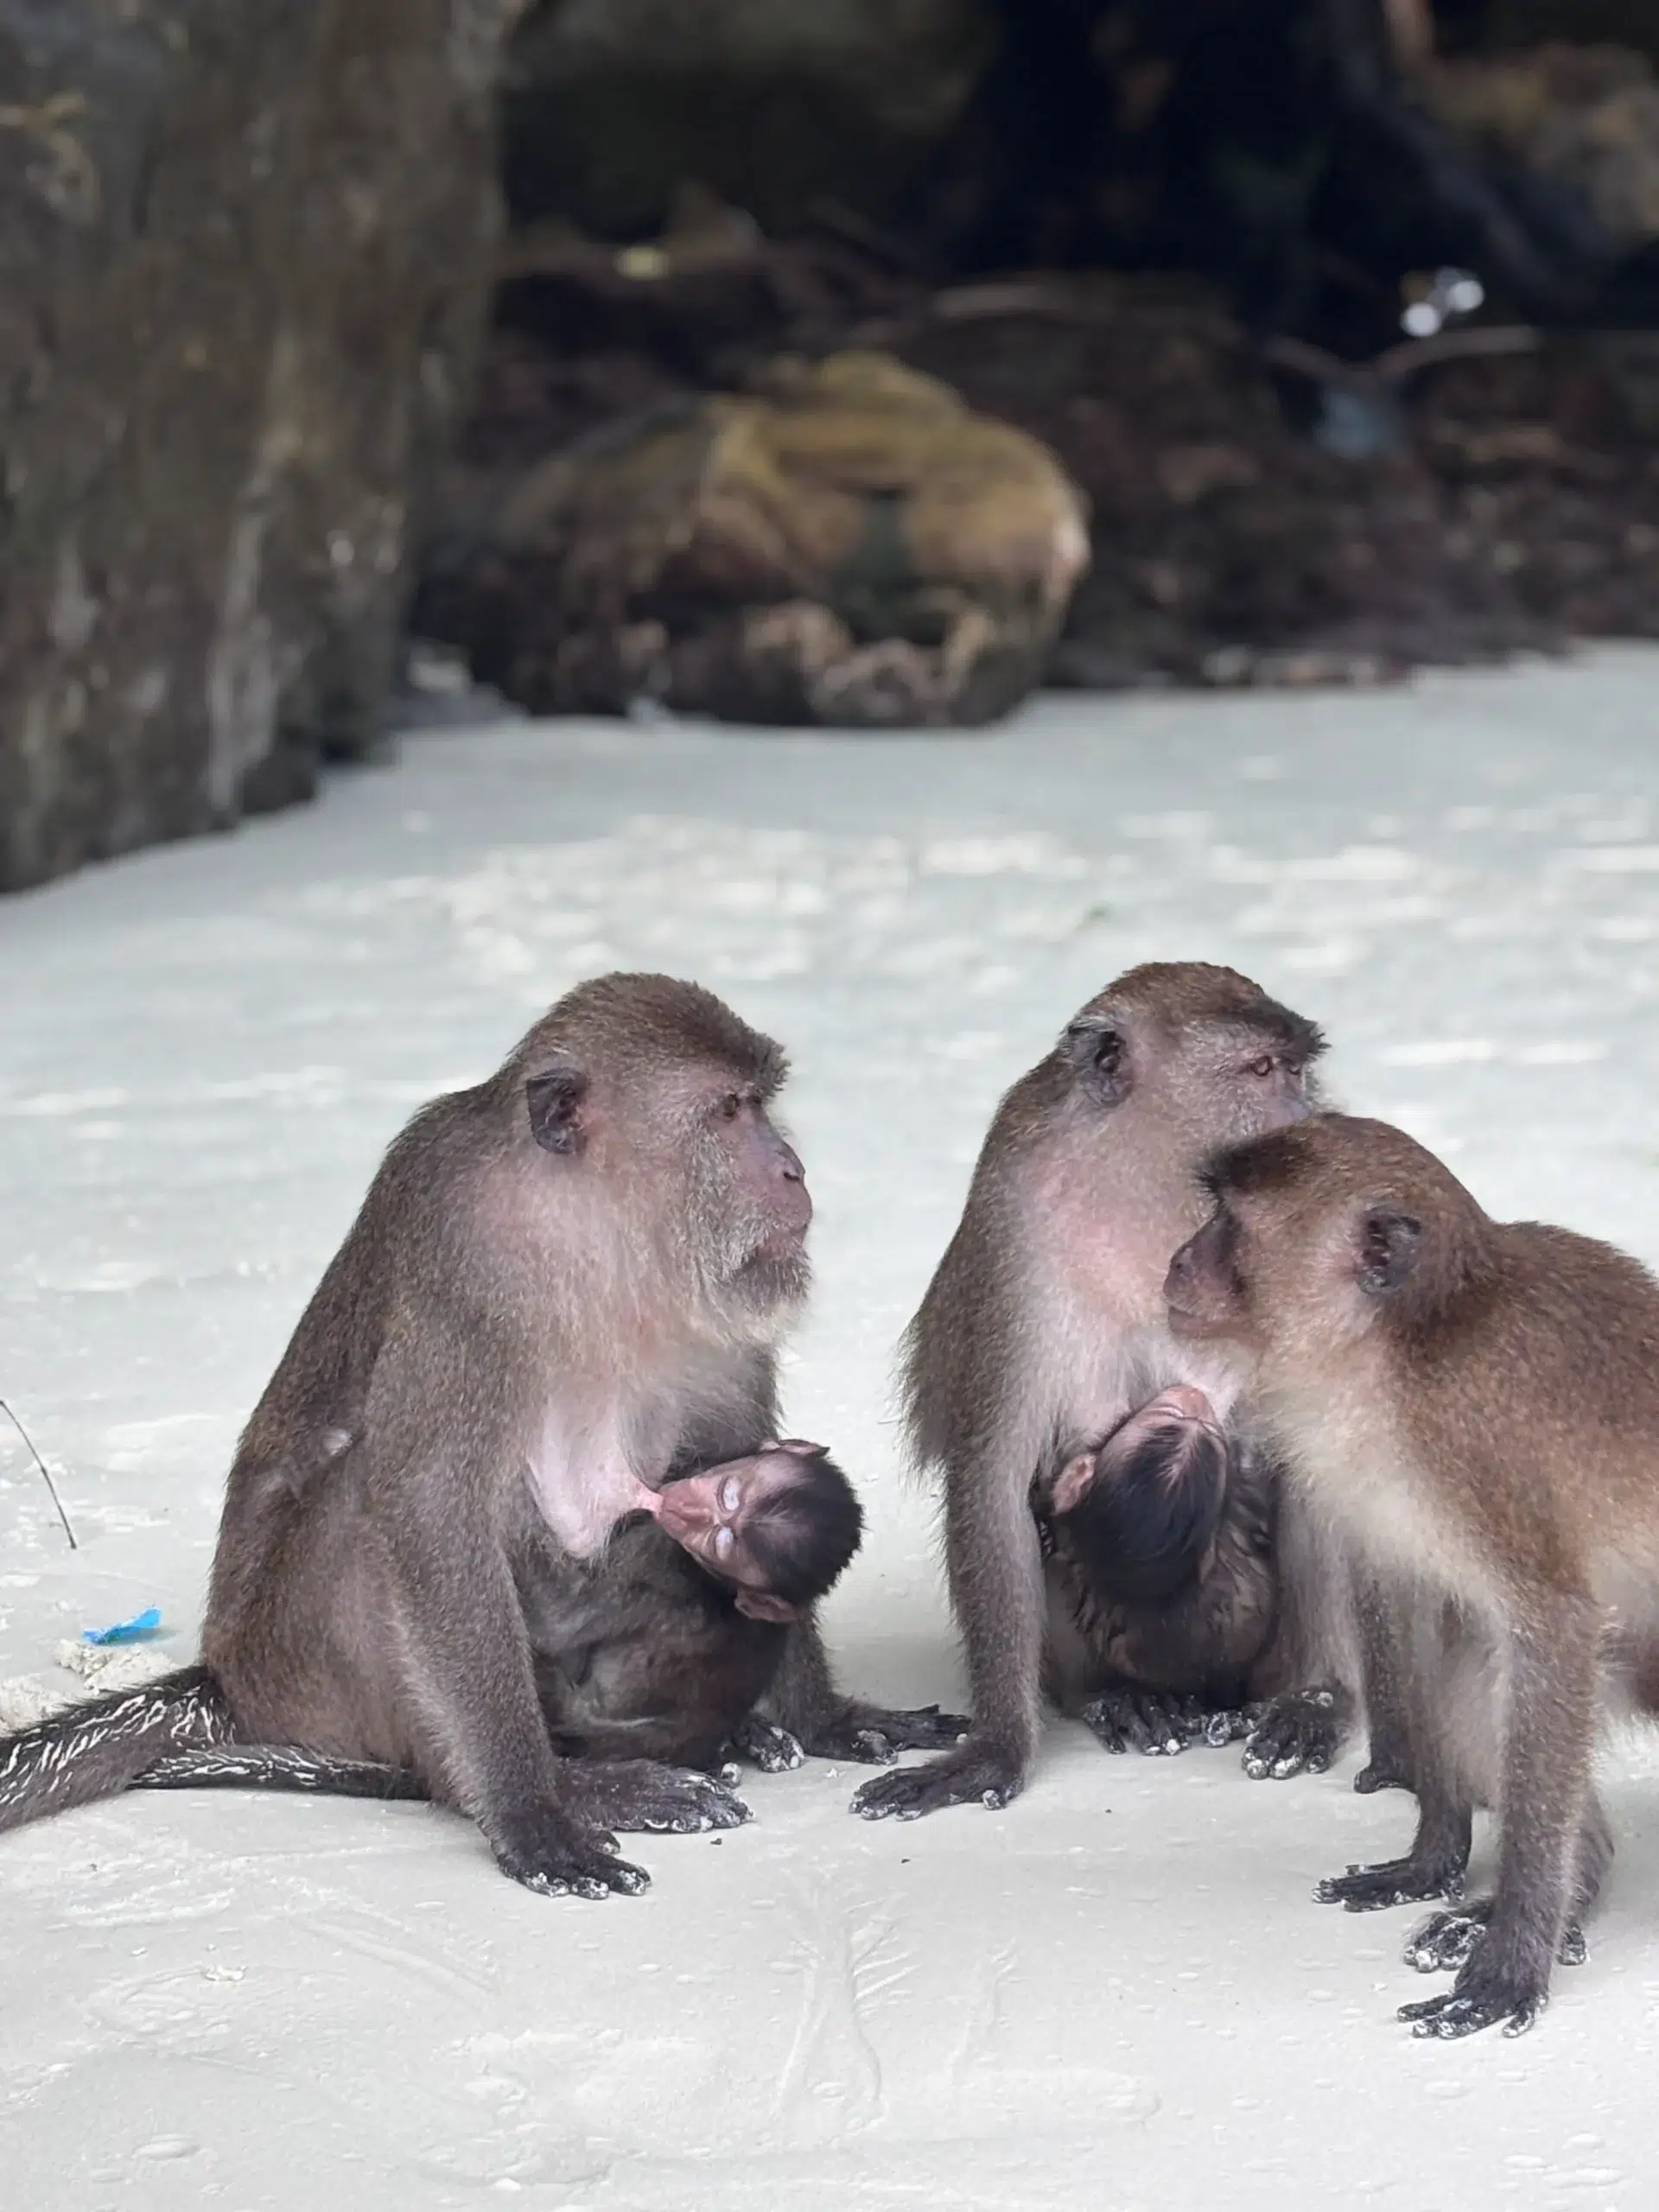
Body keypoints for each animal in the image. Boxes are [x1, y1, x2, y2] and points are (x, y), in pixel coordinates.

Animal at [0, 974, 963, 1895]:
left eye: (762, 1102)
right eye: (729, 1111)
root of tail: (226, 1674)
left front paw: (824, 1716)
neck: (593, 1232)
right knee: (373, 1506)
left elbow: (737, 1448)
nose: (793, 1168)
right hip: (303, 1675)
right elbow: (431, 1510)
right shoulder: (466, 1258)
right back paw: (560, 1779)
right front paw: (531, 1812)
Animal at [854, 962, 1350, 1824]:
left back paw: (1306, 1698)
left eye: (1297, 1071)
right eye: (1262, 1072)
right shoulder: (1016, 1230)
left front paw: (1318, 1703)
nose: (1311, 1124)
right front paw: (997, 1747)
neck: (1149, 1188)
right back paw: (1116, 1697)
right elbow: (994, 1481)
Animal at [1162, 1109, 1659, 2037]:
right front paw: (1437, 1857)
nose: (1177, 1261)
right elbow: (1416, 1606)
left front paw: (1515, 1956)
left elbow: (1553, 1623)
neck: (1397, 1350)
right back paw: (1580, 1873)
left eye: (1229, 1226)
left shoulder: (1475, 1442)